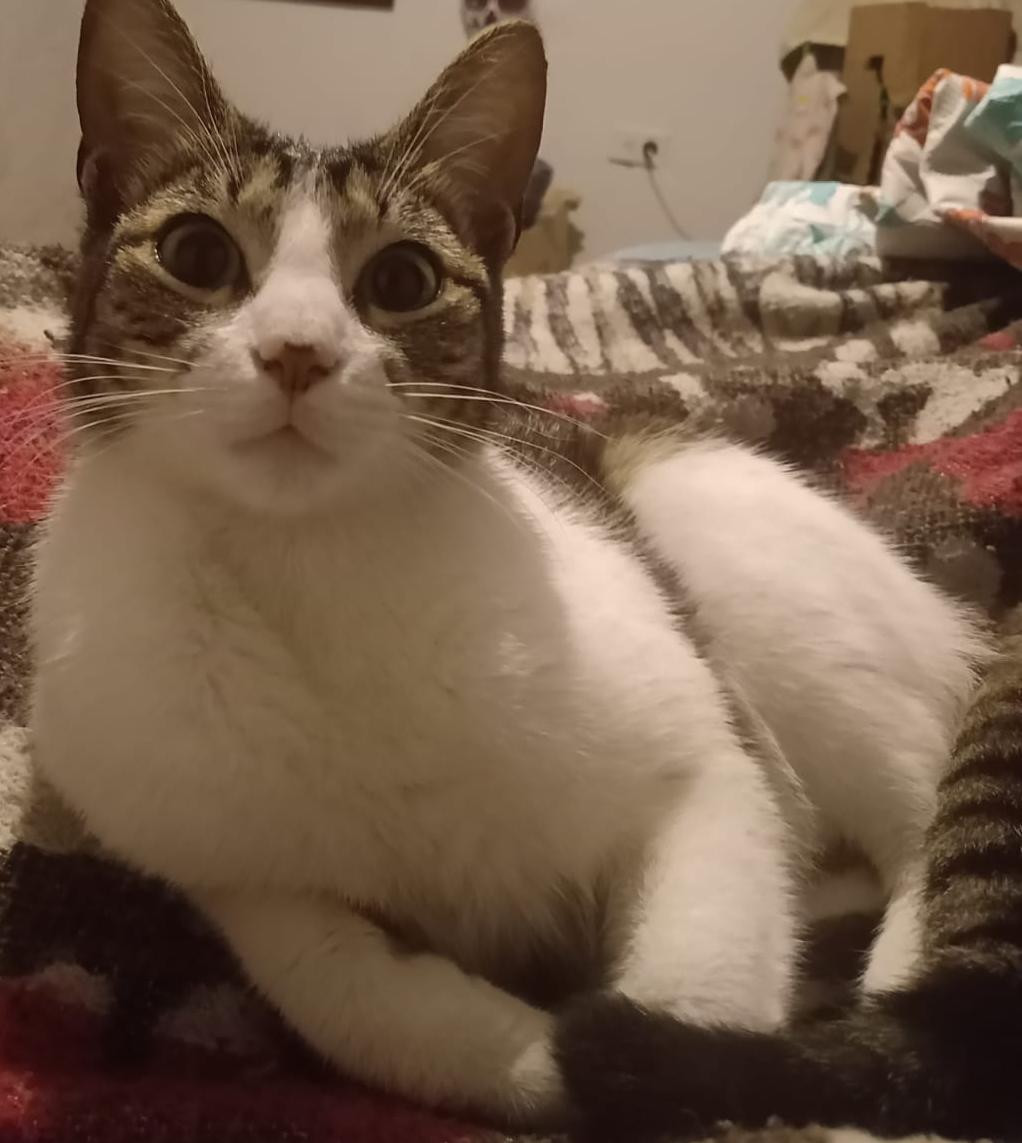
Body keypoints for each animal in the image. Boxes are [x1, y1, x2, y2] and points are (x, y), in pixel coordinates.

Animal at [31, 0, 985, 1128]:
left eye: (401, 280)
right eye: (194, 251)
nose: (298, 353)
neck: (311, 564)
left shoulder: (701, 766)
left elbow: (704, 970)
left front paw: (701, 1067)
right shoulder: (220, 856)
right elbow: (350, 997)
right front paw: (530, 1051)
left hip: (730, 548)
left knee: (923, 818)